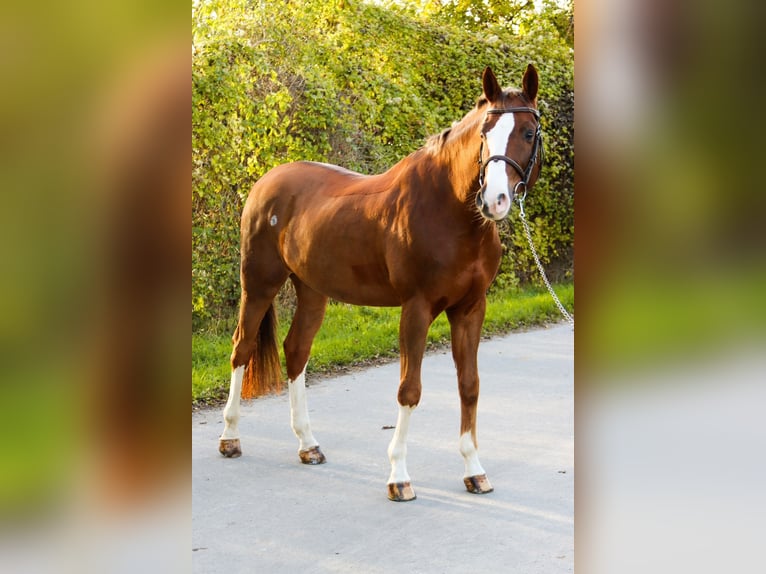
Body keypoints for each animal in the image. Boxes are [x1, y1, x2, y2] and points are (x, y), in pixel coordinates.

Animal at [218, 64, 544, 504]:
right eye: (484, 133)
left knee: (296, 349)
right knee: (242, 348)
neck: (450, 212)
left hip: (312, 290)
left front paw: (475, 471)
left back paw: (308, 445)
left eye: (527, 132)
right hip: (258, 283)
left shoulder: (470, 309)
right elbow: (410, 389)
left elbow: (469, 386)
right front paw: (399, 477)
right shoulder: (416, 308)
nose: (494, 200)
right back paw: (230, 437)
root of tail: (265, 182)